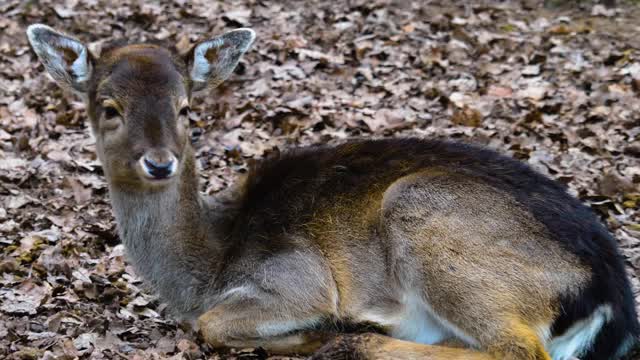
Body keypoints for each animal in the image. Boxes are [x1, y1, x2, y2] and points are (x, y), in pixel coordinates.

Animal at [26, 23, 640, 358]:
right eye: (109, 107)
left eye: (185, 108)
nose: (160, 163)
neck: (206, 269)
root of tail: (609, 299)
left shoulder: (296, 277)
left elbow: (212, 325)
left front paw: (319, 330)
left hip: (424, 210)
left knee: (517, 349)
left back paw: (357, 336)